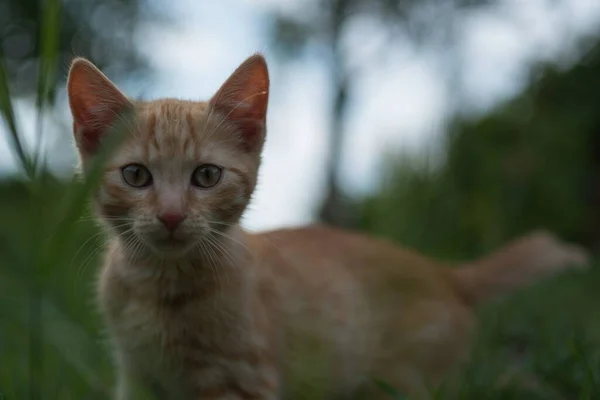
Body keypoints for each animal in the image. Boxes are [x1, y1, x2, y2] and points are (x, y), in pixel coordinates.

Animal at [68, 54, 588, 398]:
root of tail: (441, 272)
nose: (172, 215)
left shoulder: (243, 380)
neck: (159, 289)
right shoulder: (137, 377)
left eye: (207, 176)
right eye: (137, 176)